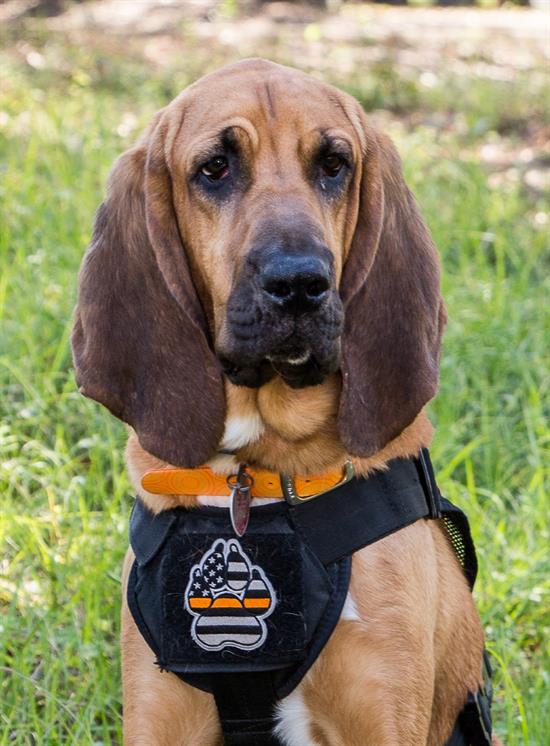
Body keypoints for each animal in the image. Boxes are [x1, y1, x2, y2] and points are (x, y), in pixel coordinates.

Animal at [71, 58, 494, 744]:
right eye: (215, 168)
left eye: (334, 164)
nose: (299, 282)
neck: (257, 476)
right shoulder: (161, 716)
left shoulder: (379, 709)